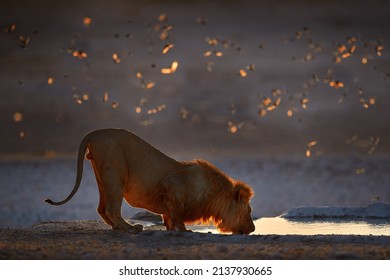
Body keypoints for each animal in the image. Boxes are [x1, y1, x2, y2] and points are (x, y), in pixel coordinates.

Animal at [45, 129, 256, 234]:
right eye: (249, 211)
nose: (254, 229)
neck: (215, 196)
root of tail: (95, 133)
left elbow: (168, 216)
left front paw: (169, 228)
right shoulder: (172, 186)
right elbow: (177, 215)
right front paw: (185, 231)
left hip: (102, 175)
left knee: (101, 208)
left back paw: (117, 227)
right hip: (115, 171)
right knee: (112, 209)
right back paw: (131, 229)